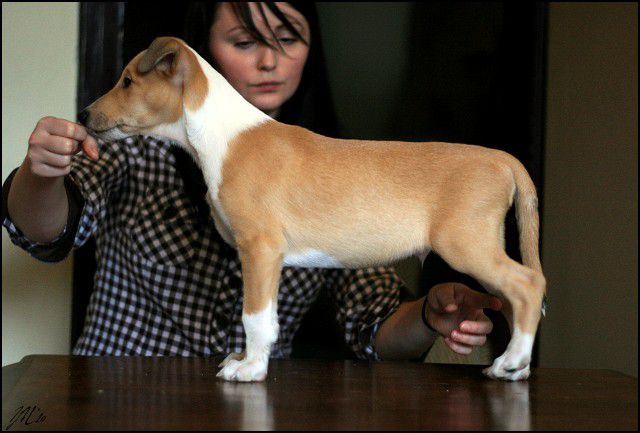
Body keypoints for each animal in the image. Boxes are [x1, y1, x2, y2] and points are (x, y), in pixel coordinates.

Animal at [80, 37, 548, 382]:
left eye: (126, 81)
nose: (83, 115)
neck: (221, 134)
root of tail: (502, 159)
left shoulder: (260, 248)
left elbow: (254, 317)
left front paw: (250, 370)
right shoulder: (261, 258)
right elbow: (263, 317)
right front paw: (246, 361)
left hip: (466, 243)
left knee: (527, 285)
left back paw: (510, 362)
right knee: (514, 297)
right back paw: (514, 365)